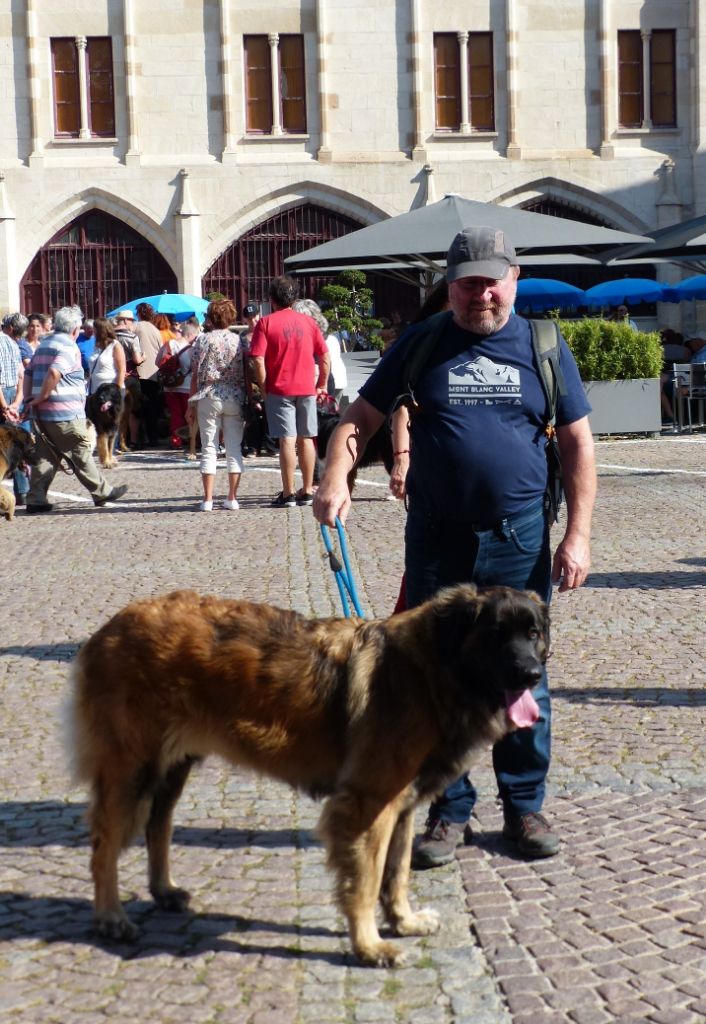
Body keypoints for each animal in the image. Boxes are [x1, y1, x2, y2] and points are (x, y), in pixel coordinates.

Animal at [68, 581, 549, 962]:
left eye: (532, 634)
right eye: (495, 635)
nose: (531, 673)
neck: (435, 671)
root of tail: (110, 628)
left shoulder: (402, 806)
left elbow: (396, 872)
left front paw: (404, 922)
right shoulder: (368, 805)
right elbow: (367, 879)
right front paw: (369, 945)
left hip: (172, 768)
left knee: (158, 826)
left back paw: (164, 890)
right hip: (132, 768)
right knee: (104, 844)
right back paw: (111, 917)